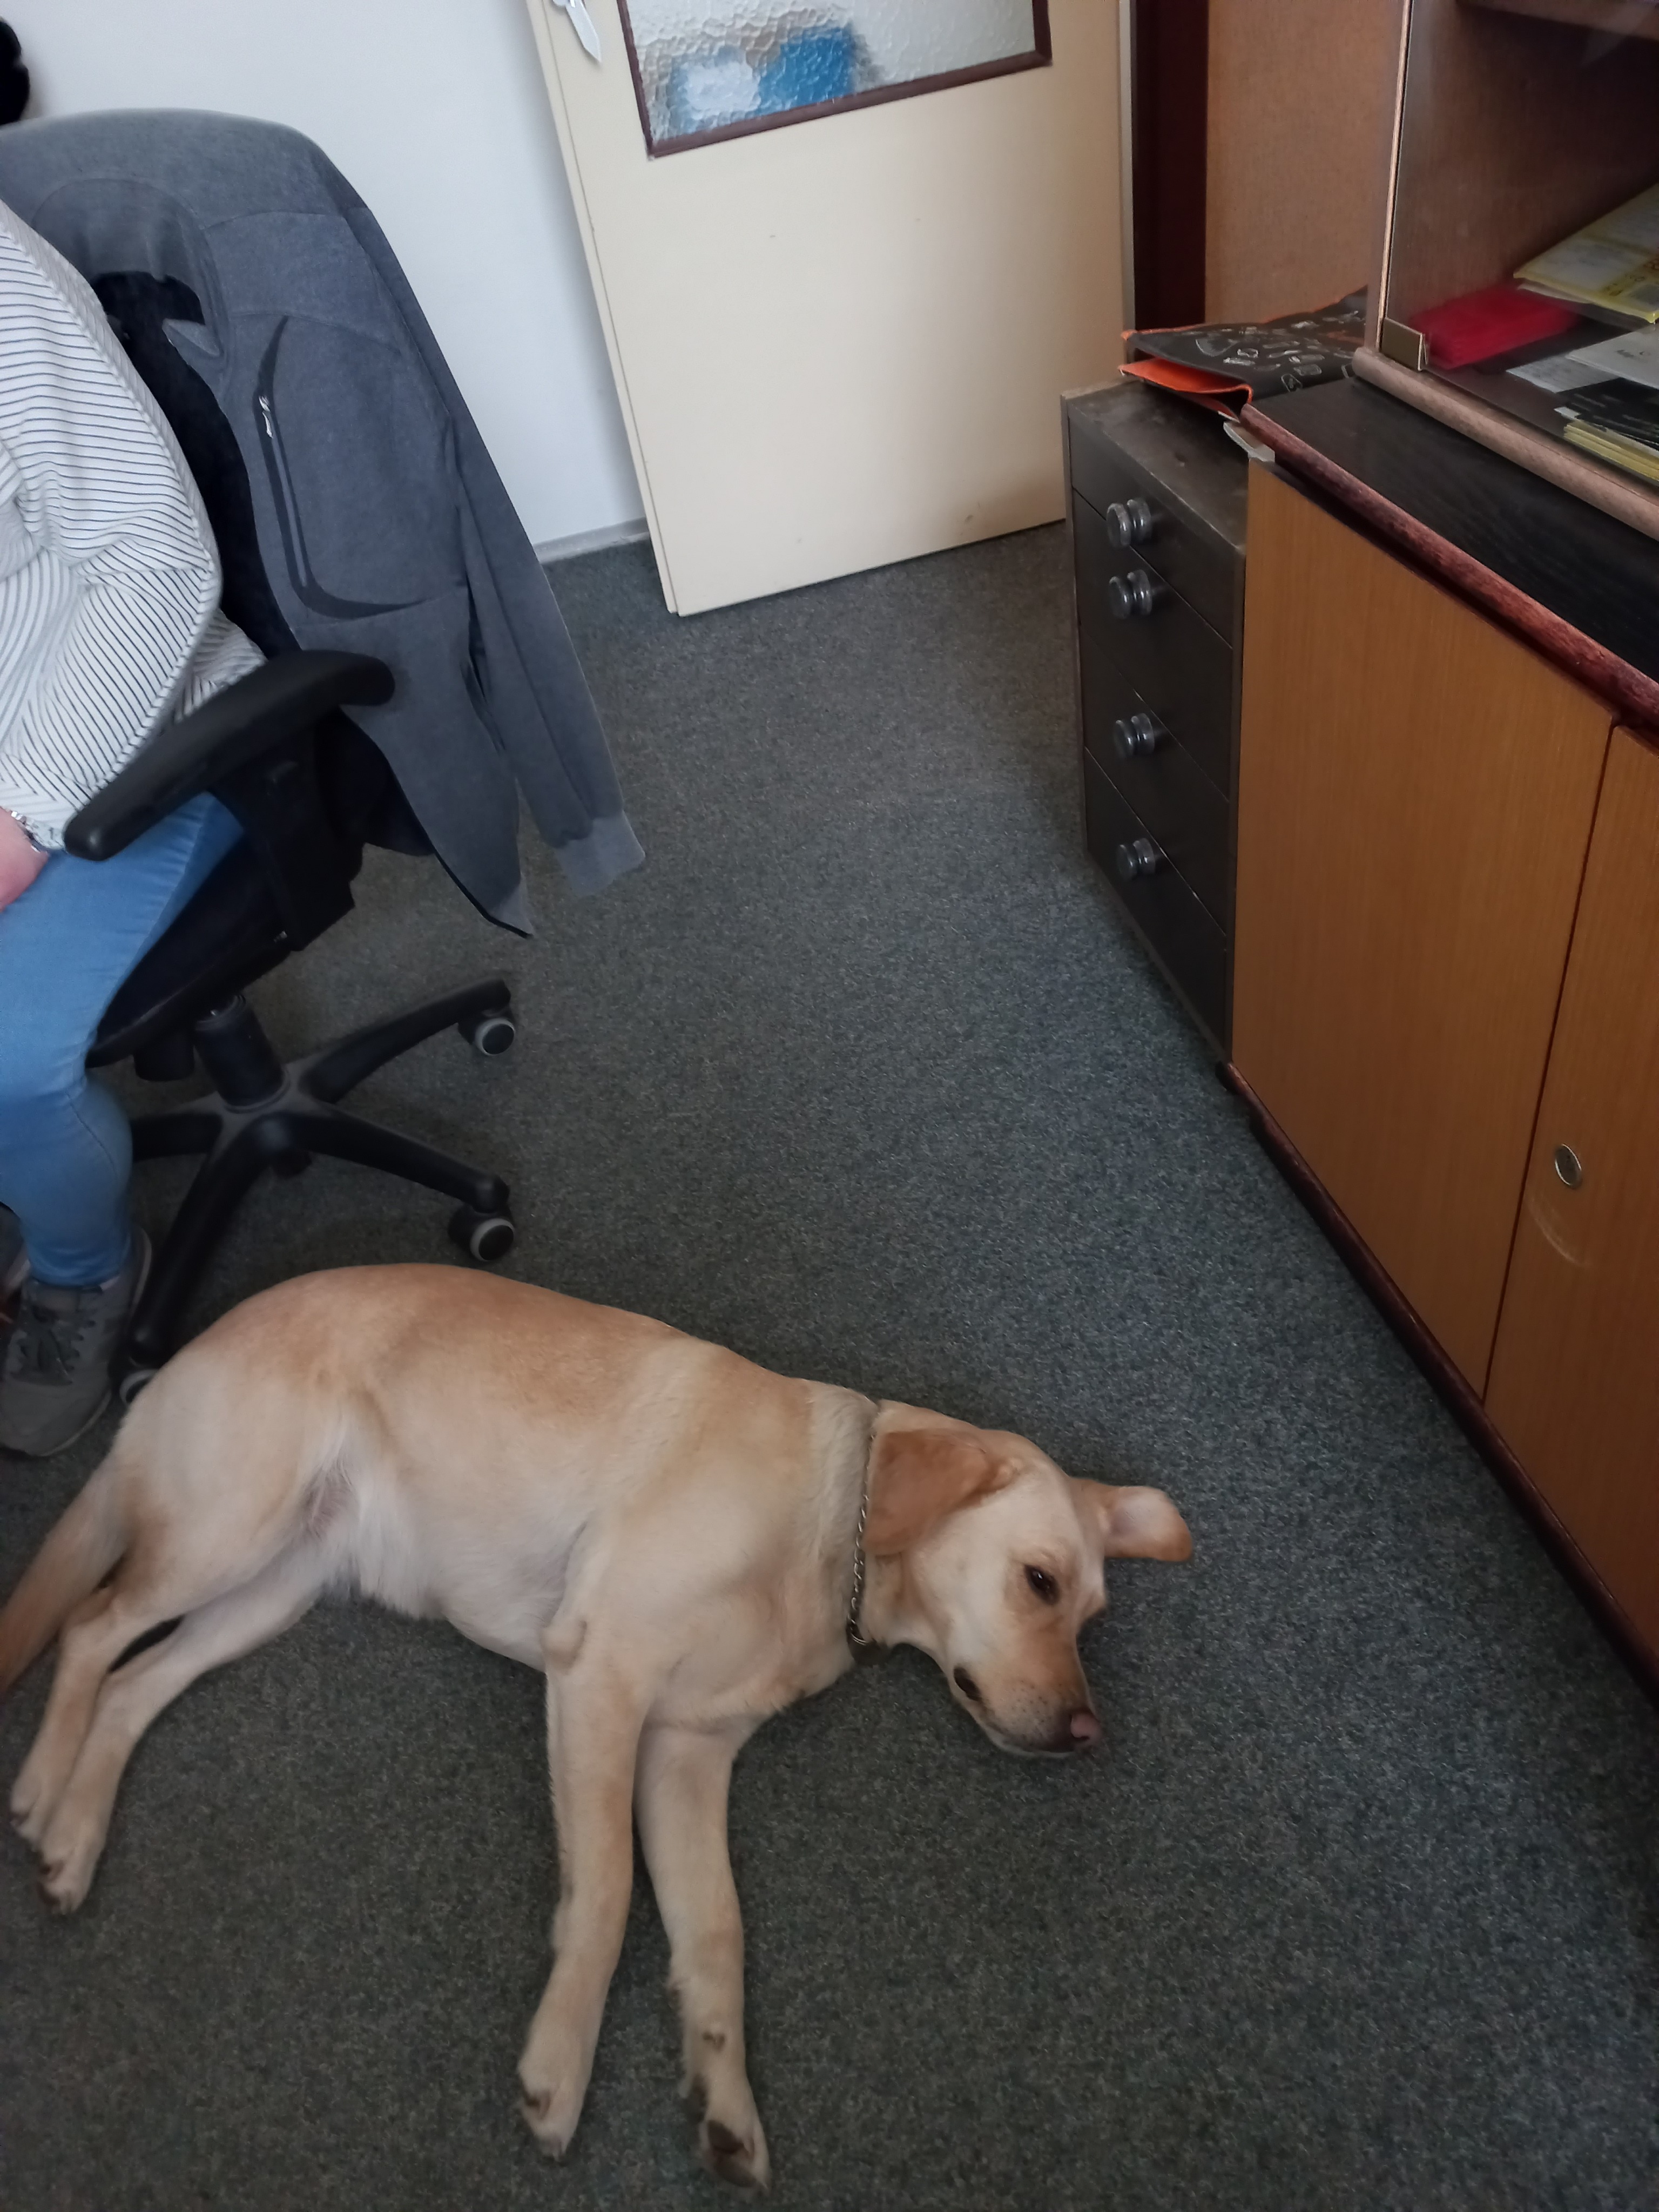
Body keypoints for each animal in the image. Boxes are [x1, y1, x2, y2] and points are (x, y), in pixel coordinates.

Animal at [0, 1265, 1190, 2188]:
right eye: (1039, 1582)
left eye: (1090, 1616)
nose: (1086, 1730)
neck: (834, 1528)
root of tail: (181, 1356)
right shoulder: (602, 1674)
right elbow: (611, 1892)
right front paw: (560, 2066)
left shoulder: (686, 1754)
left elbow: (715, 1932)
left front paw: (724, 2096)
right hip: (227, 1530)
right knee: (91, 1629)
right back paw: (43, 1789)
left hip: (274, 1586)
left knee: (134, 1683)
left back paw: (72, 1836)